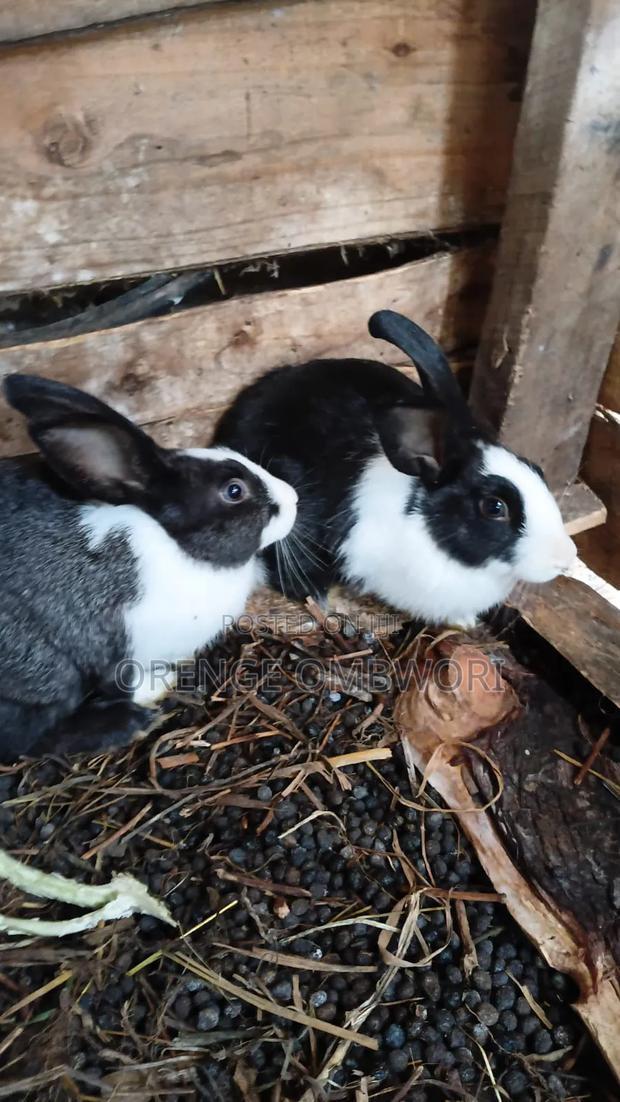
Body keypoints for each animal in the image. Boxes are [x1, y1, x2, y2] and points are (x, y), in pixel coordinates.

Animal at [0, 374, 297, 762]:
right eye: (234, 491)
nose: (294, 499)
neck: (174, 543)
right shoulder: (122, 647)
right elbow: (124, 681)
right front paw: (158, 687)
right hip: (44, 671)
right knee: (26, 738)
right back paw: (131, 723)